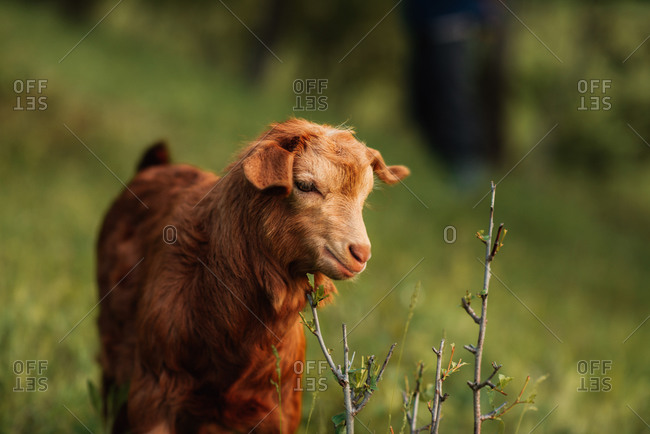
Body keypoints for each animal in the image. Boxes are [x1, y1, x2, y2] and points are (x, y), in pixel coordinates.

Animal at [96, 118, 410, 433]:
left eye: (364, 197)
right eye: (304, 185)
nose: (360, 253)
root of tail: (156, 166)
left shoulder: (279, 407)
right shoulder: (154, 391)